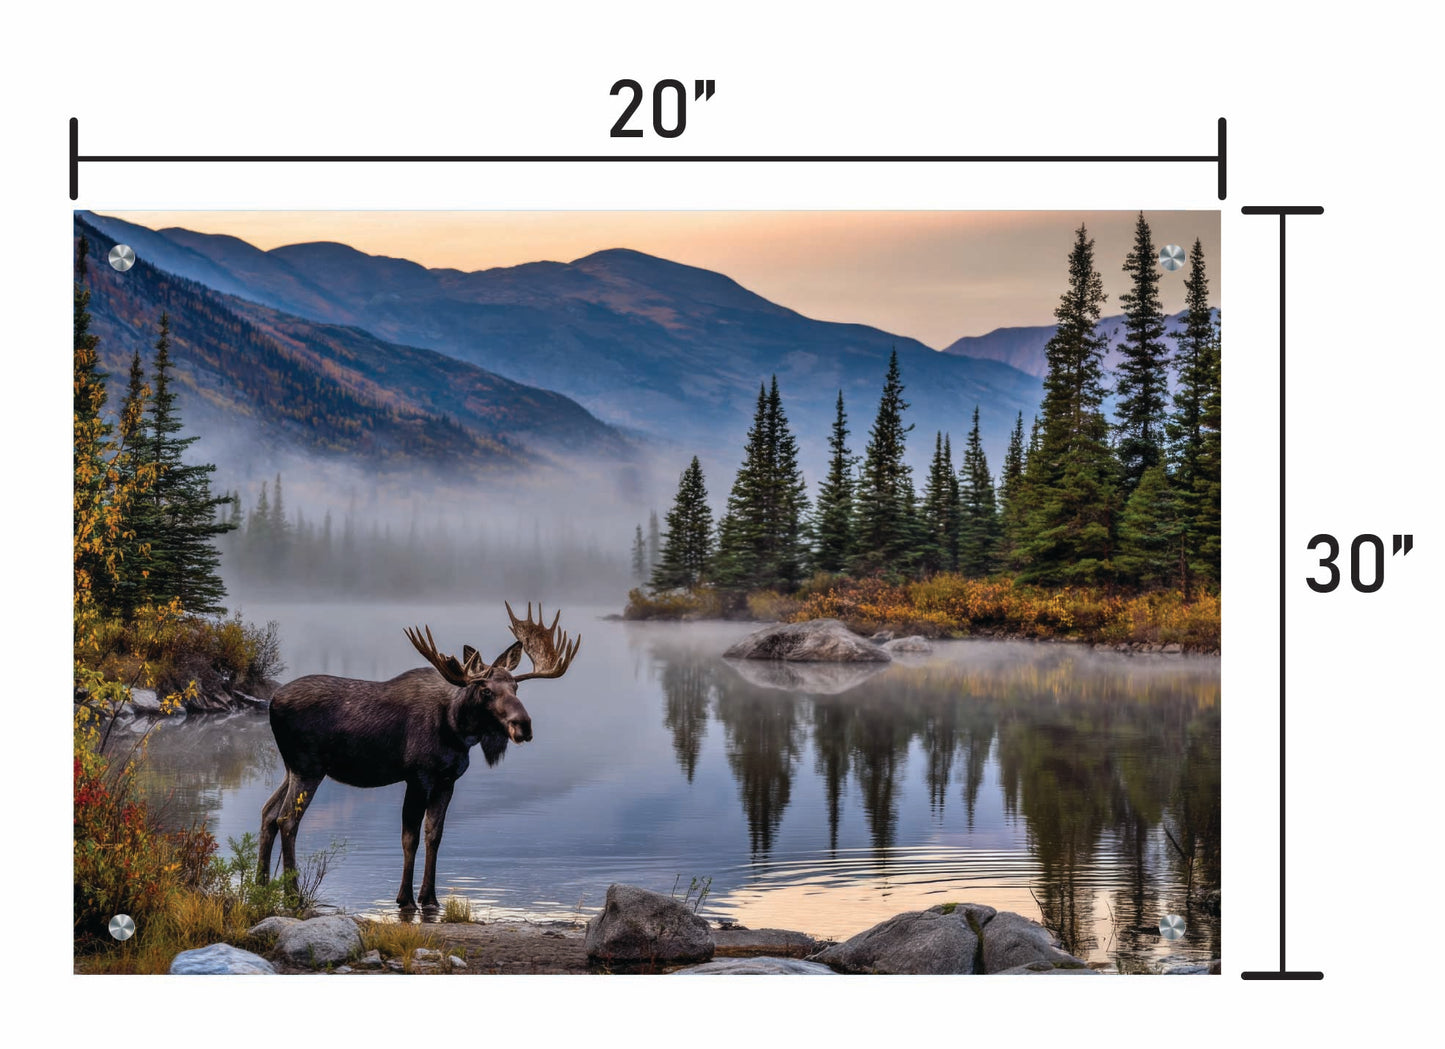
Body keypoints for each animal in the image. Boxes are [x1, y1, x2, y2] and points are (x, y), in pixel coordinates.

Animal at [257, 602, 580, 909]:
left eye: (516, 686)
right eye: (486, 690)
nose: (523, 725)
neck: (456, 728)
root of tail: (272, 702)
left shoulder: (447, 780)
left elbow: (433, 835)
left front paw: (430, 898)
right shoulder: (418, 776)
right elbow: (409, 837)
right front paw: (405, 898)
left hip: (292, 768)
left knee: (268, 812)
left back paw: (260, 886)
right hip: (308, 767)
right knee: (287, 819)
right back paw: (292, 896)